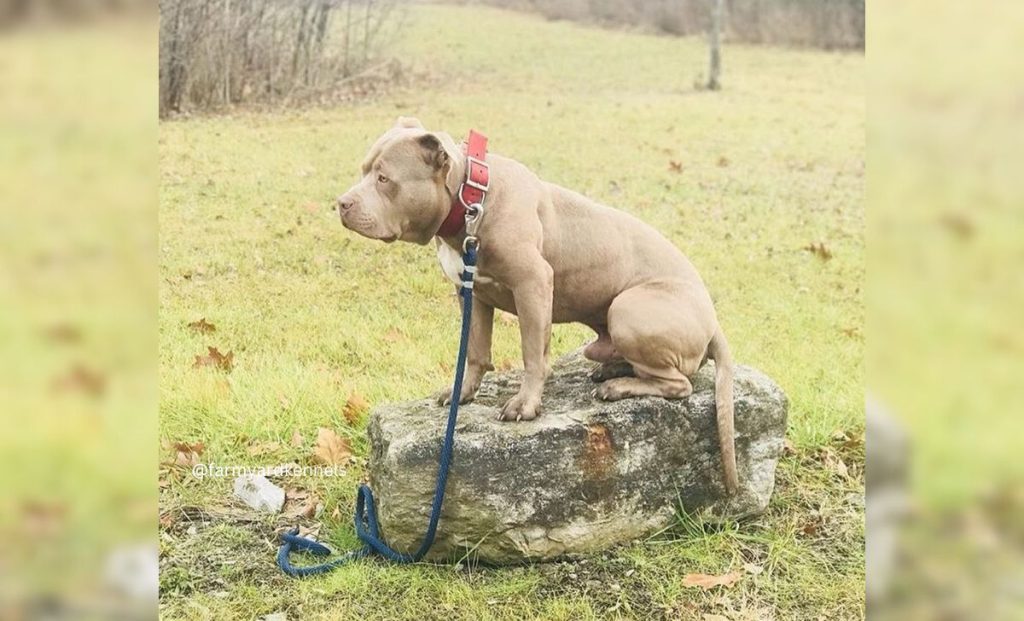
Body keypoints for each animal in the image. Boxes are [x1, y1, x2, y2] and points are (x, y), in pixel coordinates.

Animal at [337, 119, 737, 493]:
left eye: (384, 178)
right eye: (363, 171)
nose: (341, 203)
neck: (470, 199)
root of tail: (713, 320)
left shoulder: (533, 284)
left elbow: (532, 353)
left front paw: (525, 405)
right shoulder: (473, 294)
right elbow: (475, 353)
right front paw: (461, 393)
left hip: (628, 310)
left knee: (680, 384)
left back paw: (619, 387)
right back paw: (614, 370)